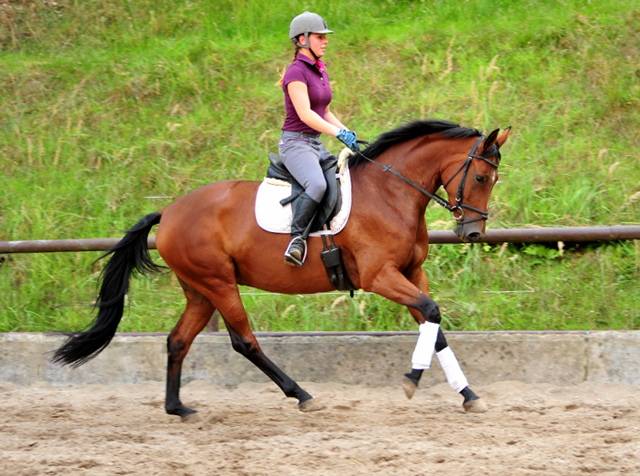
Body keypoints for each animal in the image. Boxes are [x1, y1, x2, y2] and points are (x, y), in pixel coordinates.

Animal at [52, 119, 510, 420]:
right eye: (482, 177)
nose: (473, 232)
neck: (391, 192)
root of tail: (169, 212)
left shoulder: (412, 274)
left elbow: (435, 326)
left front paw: (468, 394)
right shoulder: (381, 277)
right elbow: (431, 314)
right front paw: (412, 380)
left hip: (200, 289)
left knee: (178, 340)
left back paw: (178, 407)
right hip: (219, 283)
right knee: (244, 341)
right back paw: (301, 394)